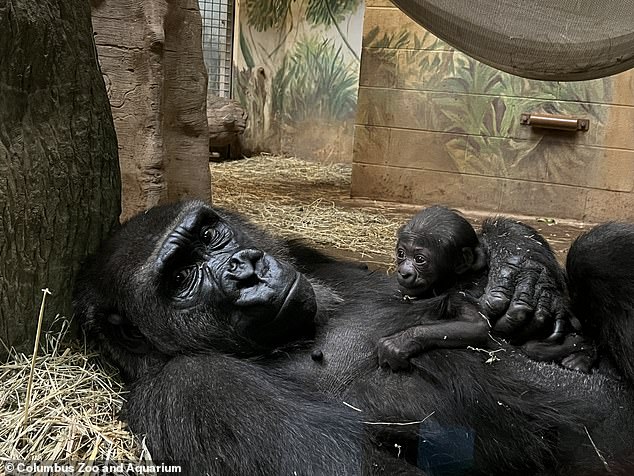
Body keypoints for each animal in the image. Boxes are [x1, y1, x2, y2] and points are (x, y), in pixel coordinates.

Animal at [376, 206, 592, 374]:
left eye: (420, 259)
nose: (404, 272)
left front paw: (400, 342)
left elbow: (475, 325)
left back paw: (581, 354)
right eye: (401, 254)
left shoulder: (461, 295)